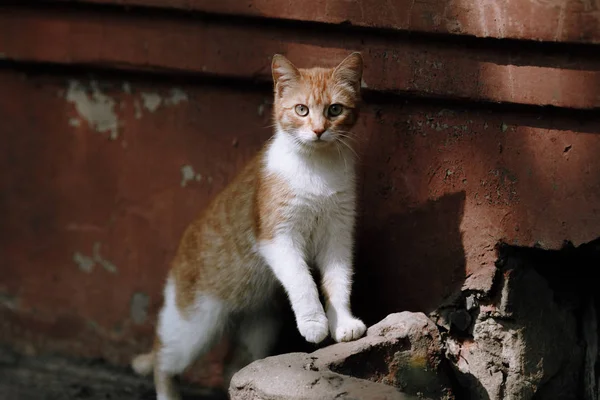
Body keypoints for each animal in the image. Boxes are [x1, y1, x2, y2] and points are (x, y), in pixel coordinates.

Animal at [131, 53, 366, 400]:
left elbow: (338, 281)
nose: (319, 130)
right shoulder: (278, 237)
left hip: (258, 330)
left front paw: (343, 322)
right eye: (301, 110)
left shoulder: (338, 235)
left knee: (234, 369)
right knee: (164, 357)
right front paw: (314, 324)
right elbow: (303, 281)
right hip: (194, 326)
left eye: (334, 110)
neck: (316, 168)